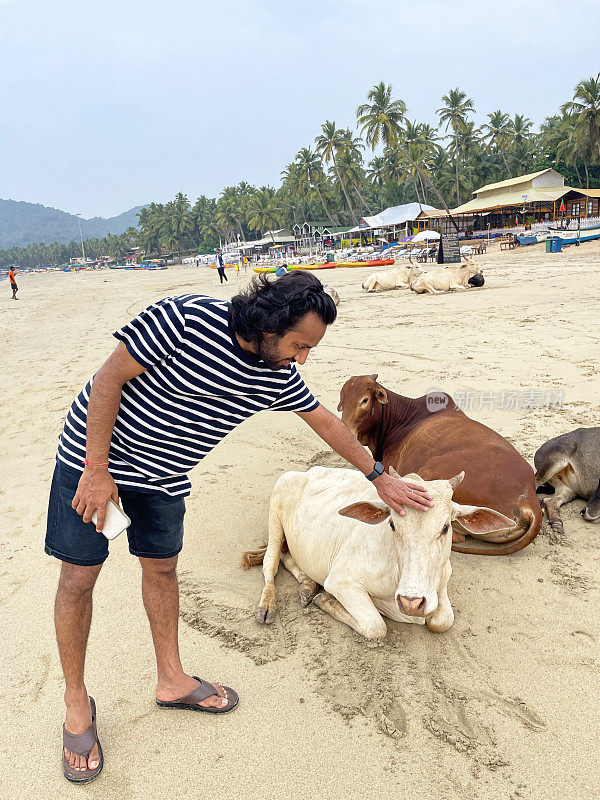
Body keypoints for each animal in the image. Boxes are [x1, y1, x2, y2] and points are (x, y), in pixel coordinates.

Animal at [241, 466, 512, 640]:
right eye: (392, 524)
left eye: (446, 527)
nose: (411, 602)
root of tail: (306, 472)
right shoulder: (341, 581)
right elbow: (376, 627)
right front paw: (328, 600)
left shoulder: (442, 581)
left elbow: (442, 621)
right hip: (275, 515)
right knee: (270, 563)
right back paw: (268, 605)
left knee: (287, 557)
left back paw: (307, 585)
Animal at [338, 376, 544, 556]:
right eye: (342, 399)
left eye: (364, 400)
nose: (347, 431)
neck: (400, 421)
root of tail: (529, 498)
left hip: (430, 470)